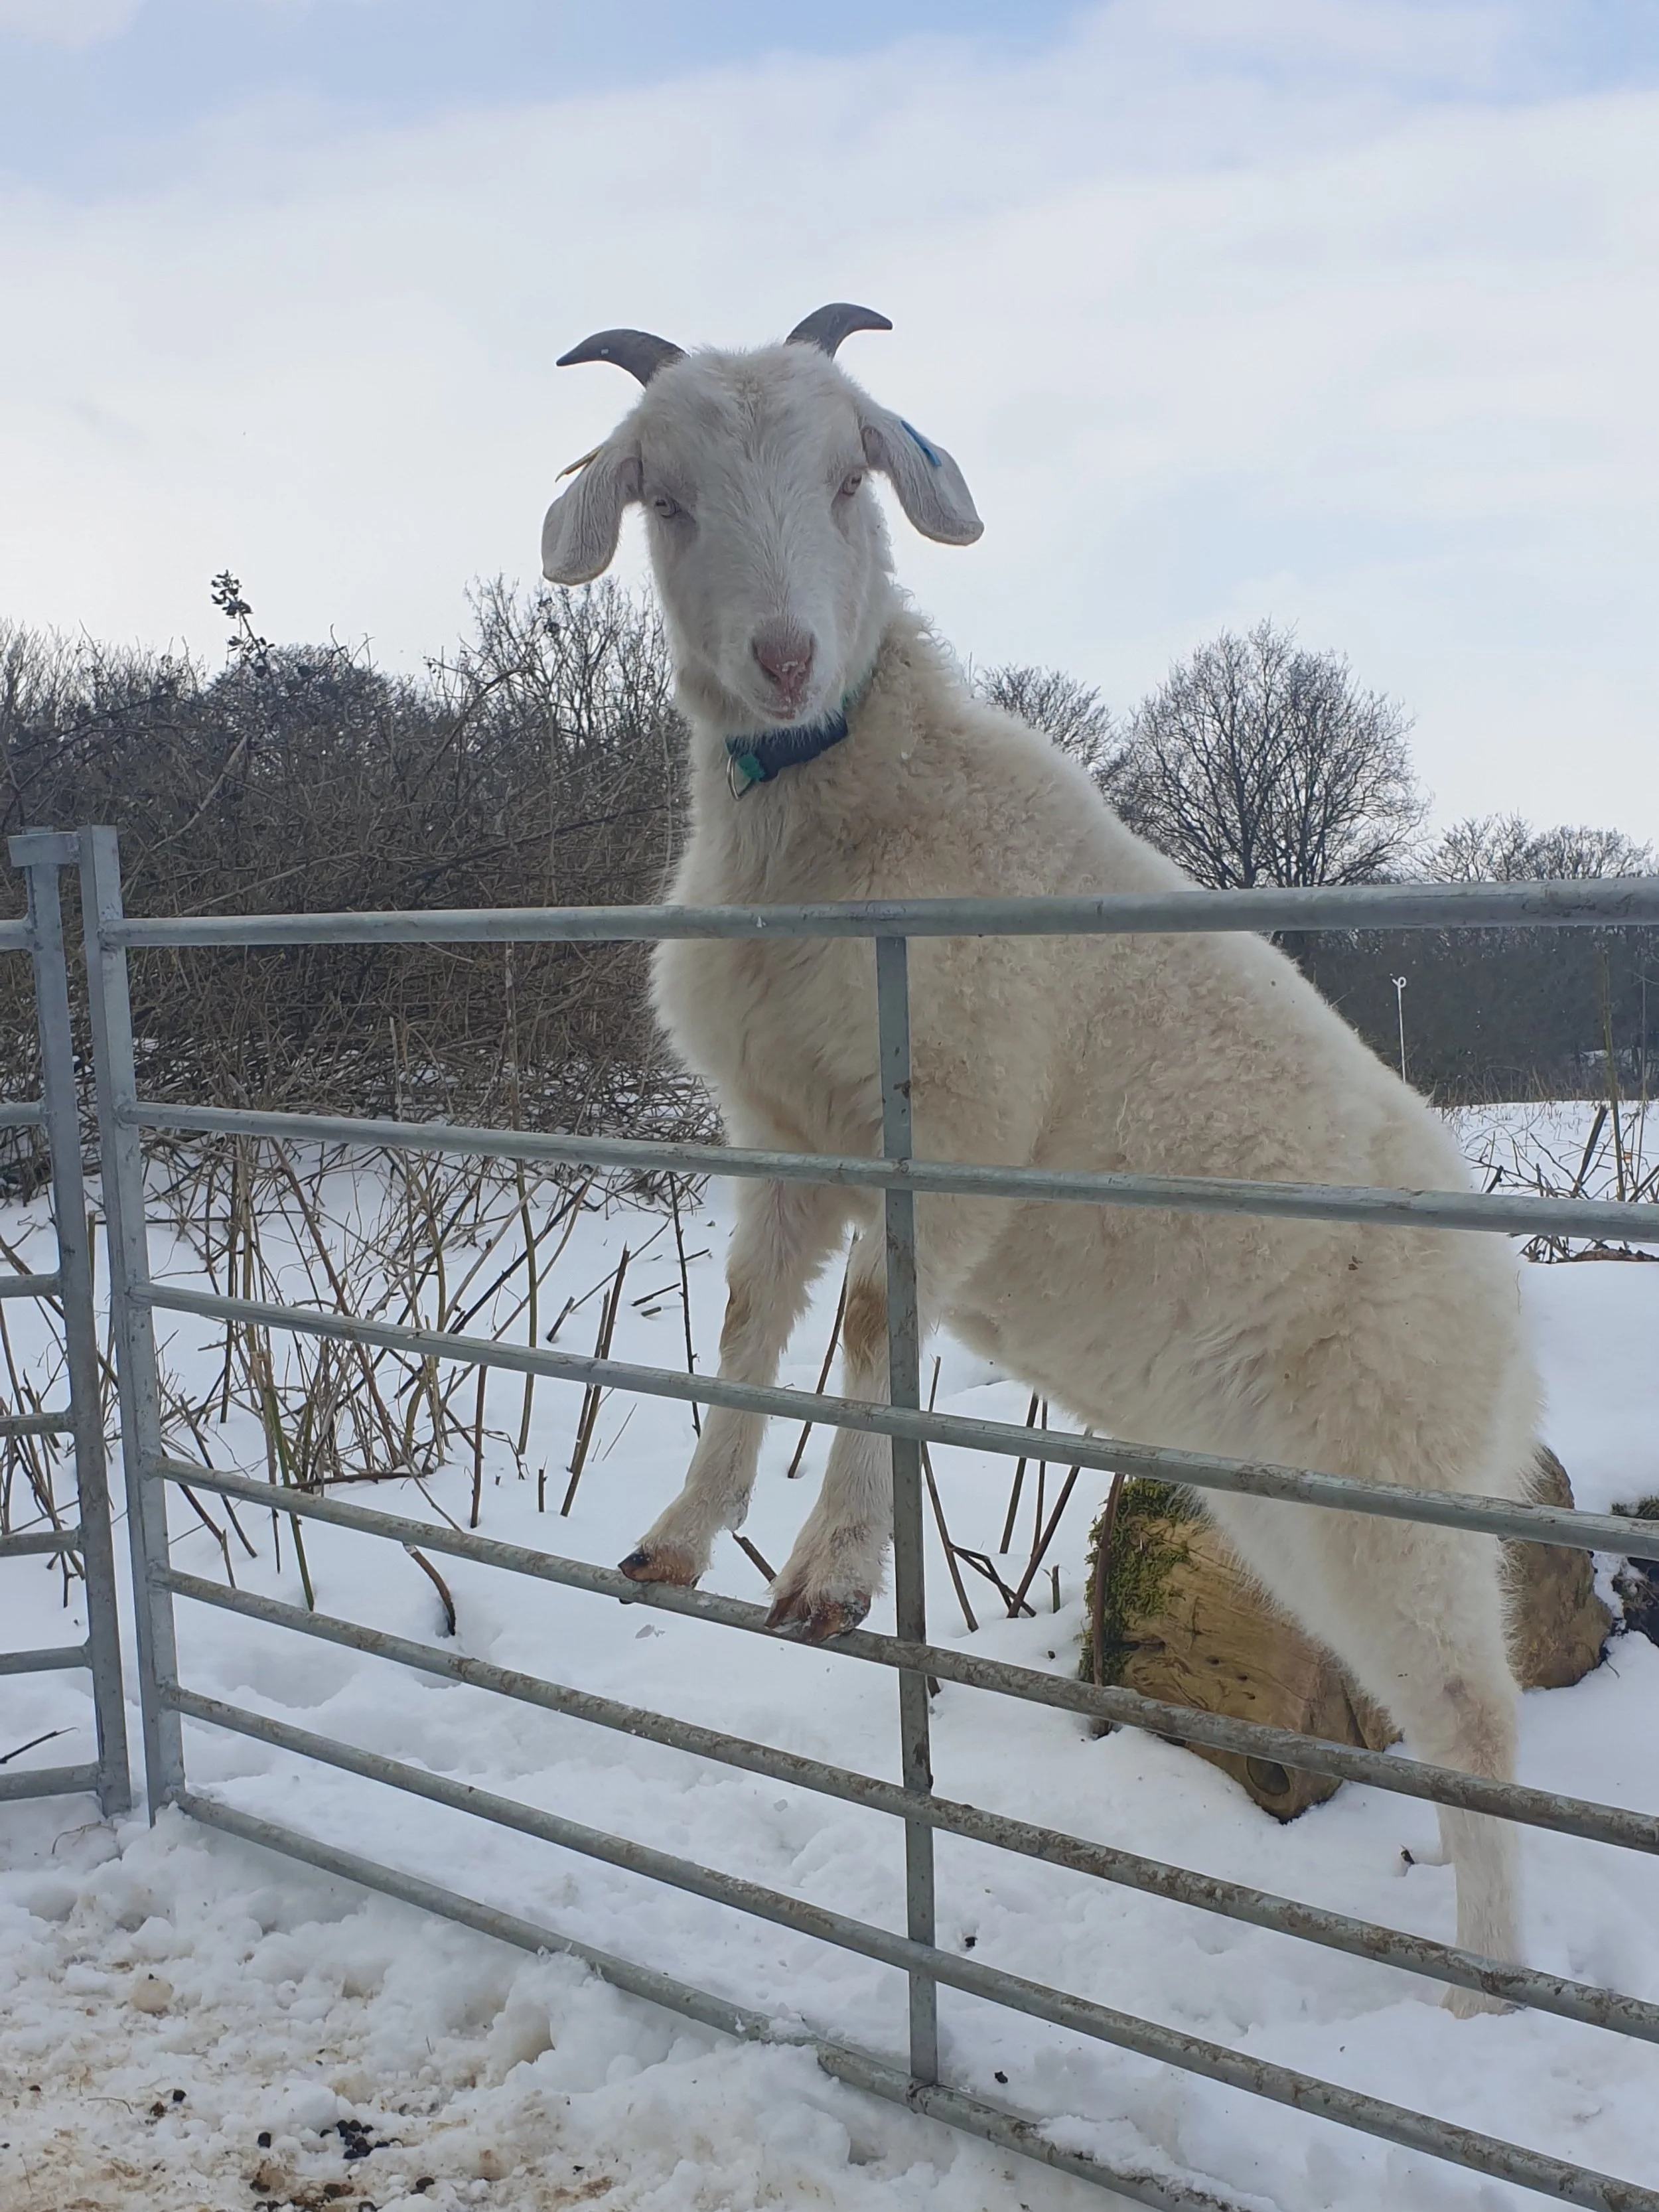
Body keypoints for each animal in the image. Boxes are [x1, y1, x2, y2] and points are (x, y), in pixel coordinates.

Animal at [539, 304, 1537, 1999]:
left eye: (849, 473)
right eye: (661, 495)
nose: (785, 657)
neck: (845, 825)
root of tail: (1510, 1324)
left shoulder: (959, 1117)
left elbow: (877, 1323)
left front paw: (830, 1576)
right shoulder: (781, 1133)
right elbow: (747, 1323)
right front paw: (680, 1537)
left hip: (1399, 1485)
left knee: (1483, 1727)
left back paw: (1488, 1993)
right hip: (1290, 1510)